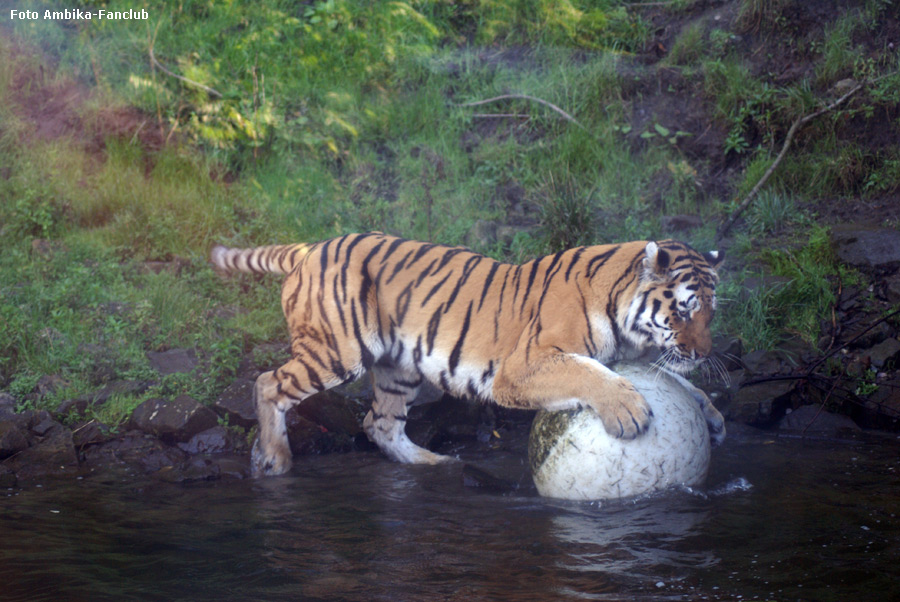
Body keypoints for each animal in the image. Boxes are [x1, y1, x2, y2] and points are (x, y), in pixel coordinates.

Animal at [211, 232, 724, 476]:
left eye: (711, 310)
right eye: (683, 310)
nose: (703, 353)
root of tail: (310, 247)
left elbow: (674, 380)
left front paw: (712, 414)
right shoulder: (521, 367)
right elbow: (587, 375)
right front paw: (628, 412)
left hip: (398, 367)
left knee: (379, 423)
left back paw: (436, 464)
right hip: (338, 350)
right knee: (268, 383)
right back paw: (274, 460)